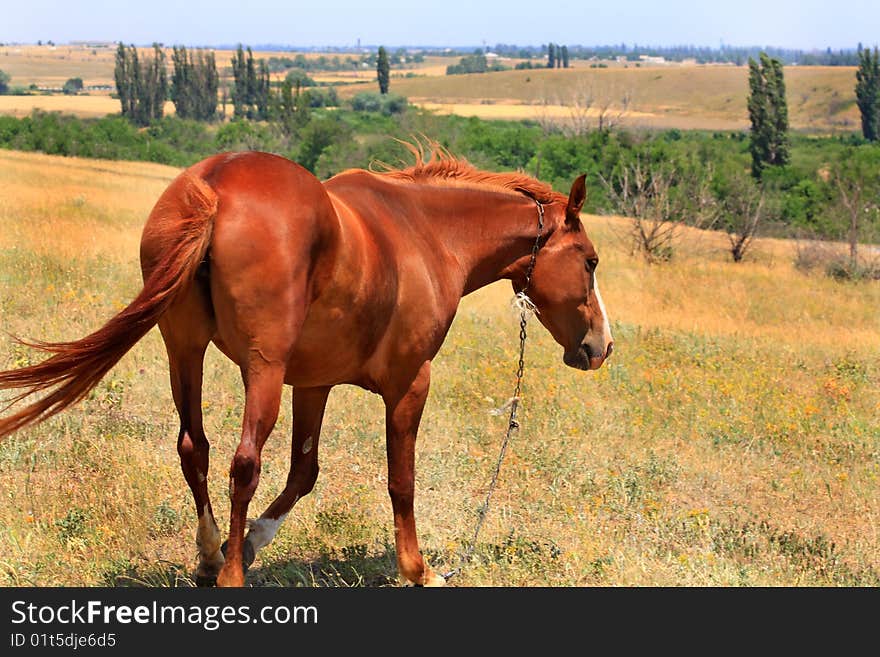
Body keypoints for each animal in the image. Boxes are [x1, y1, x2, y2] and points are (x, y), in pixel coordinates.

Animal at [0, 146, 612, 588]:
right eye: (590, 261)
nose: (601, 347)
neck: (428, 235)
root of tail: (215, 186)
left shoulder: (314, 384)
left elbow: (304, 471)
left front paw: (247, 542)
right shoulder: (410, 384)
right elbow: (401, 480)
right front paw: (417, 570)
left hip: (184, 350)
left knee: (194, 447)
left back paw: (211, 555)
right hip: (261, 370)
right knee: (243, 462)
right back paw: (230, 579)